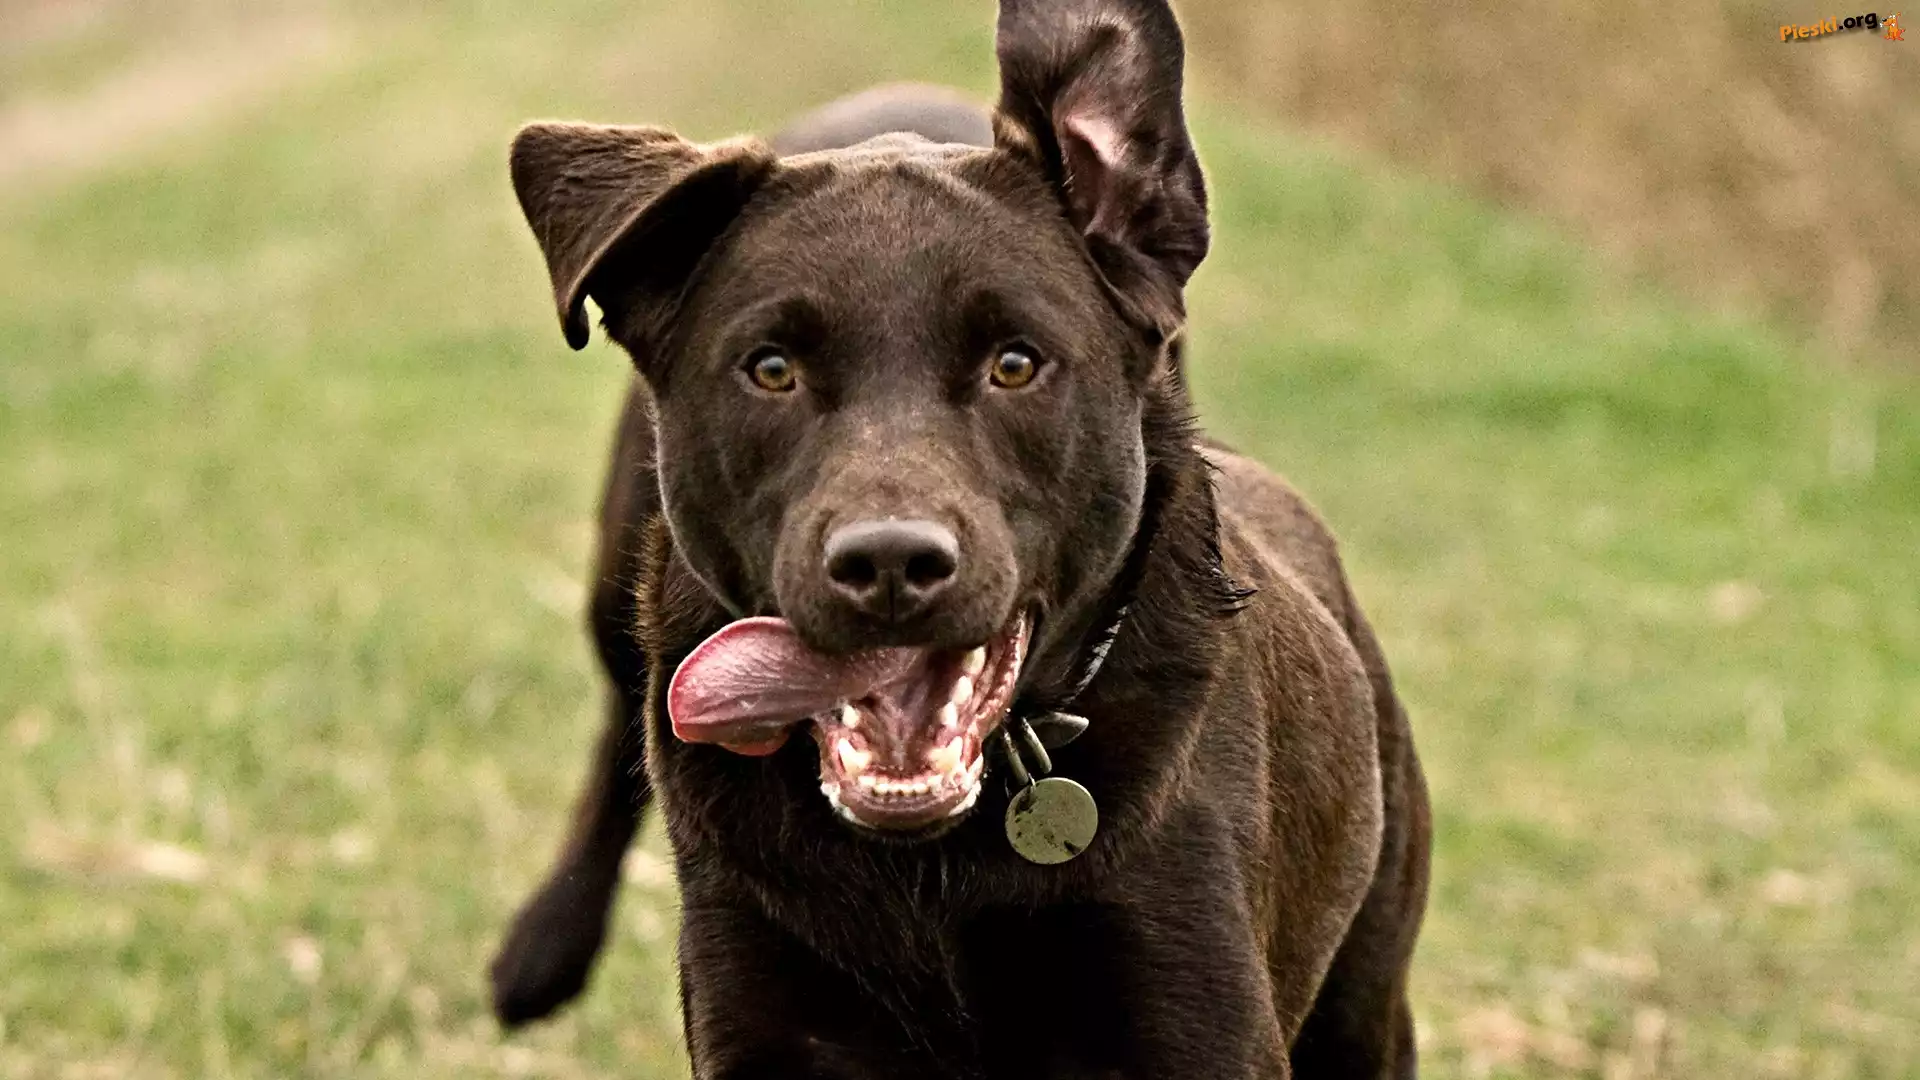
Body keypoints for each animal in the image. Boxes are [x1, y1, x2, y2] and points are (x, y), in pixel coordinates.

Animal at [488, 1, 1430, 1075]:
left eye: (1015, 364)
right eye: (770, 369)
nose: (889, 562)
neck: (932, 869)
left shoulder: (1197, 1012)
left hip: (1365, 999)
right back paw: (540, 953)